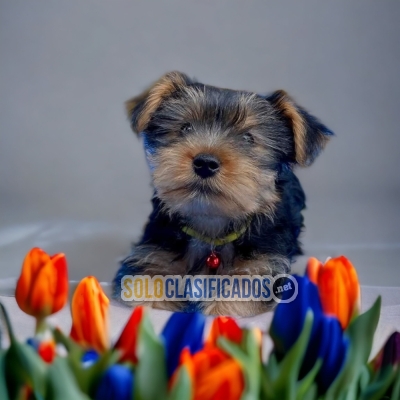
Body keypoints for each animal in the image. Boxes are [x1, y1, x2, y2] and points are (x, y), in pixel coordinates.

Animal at [111, 72, 332, 316]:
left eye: (248, 138)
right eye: (185, 128)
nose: (205, 163)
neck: (211, 227)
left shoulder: (259, 267)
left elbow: (235, 297)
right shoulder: (153, 255)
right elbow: (145, 289)